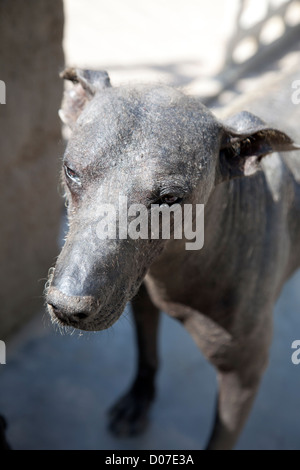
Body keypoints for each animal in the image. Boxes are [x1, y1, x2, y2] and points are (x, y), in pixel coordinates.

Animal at [45, 68, 298, 450]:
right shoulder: (140, 302)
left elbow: (219, 439)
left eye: (169, 199)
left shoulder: (242, 377)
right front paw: (139, 400)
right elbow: (147, 353)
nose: (66, 305)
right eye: (71, 171)